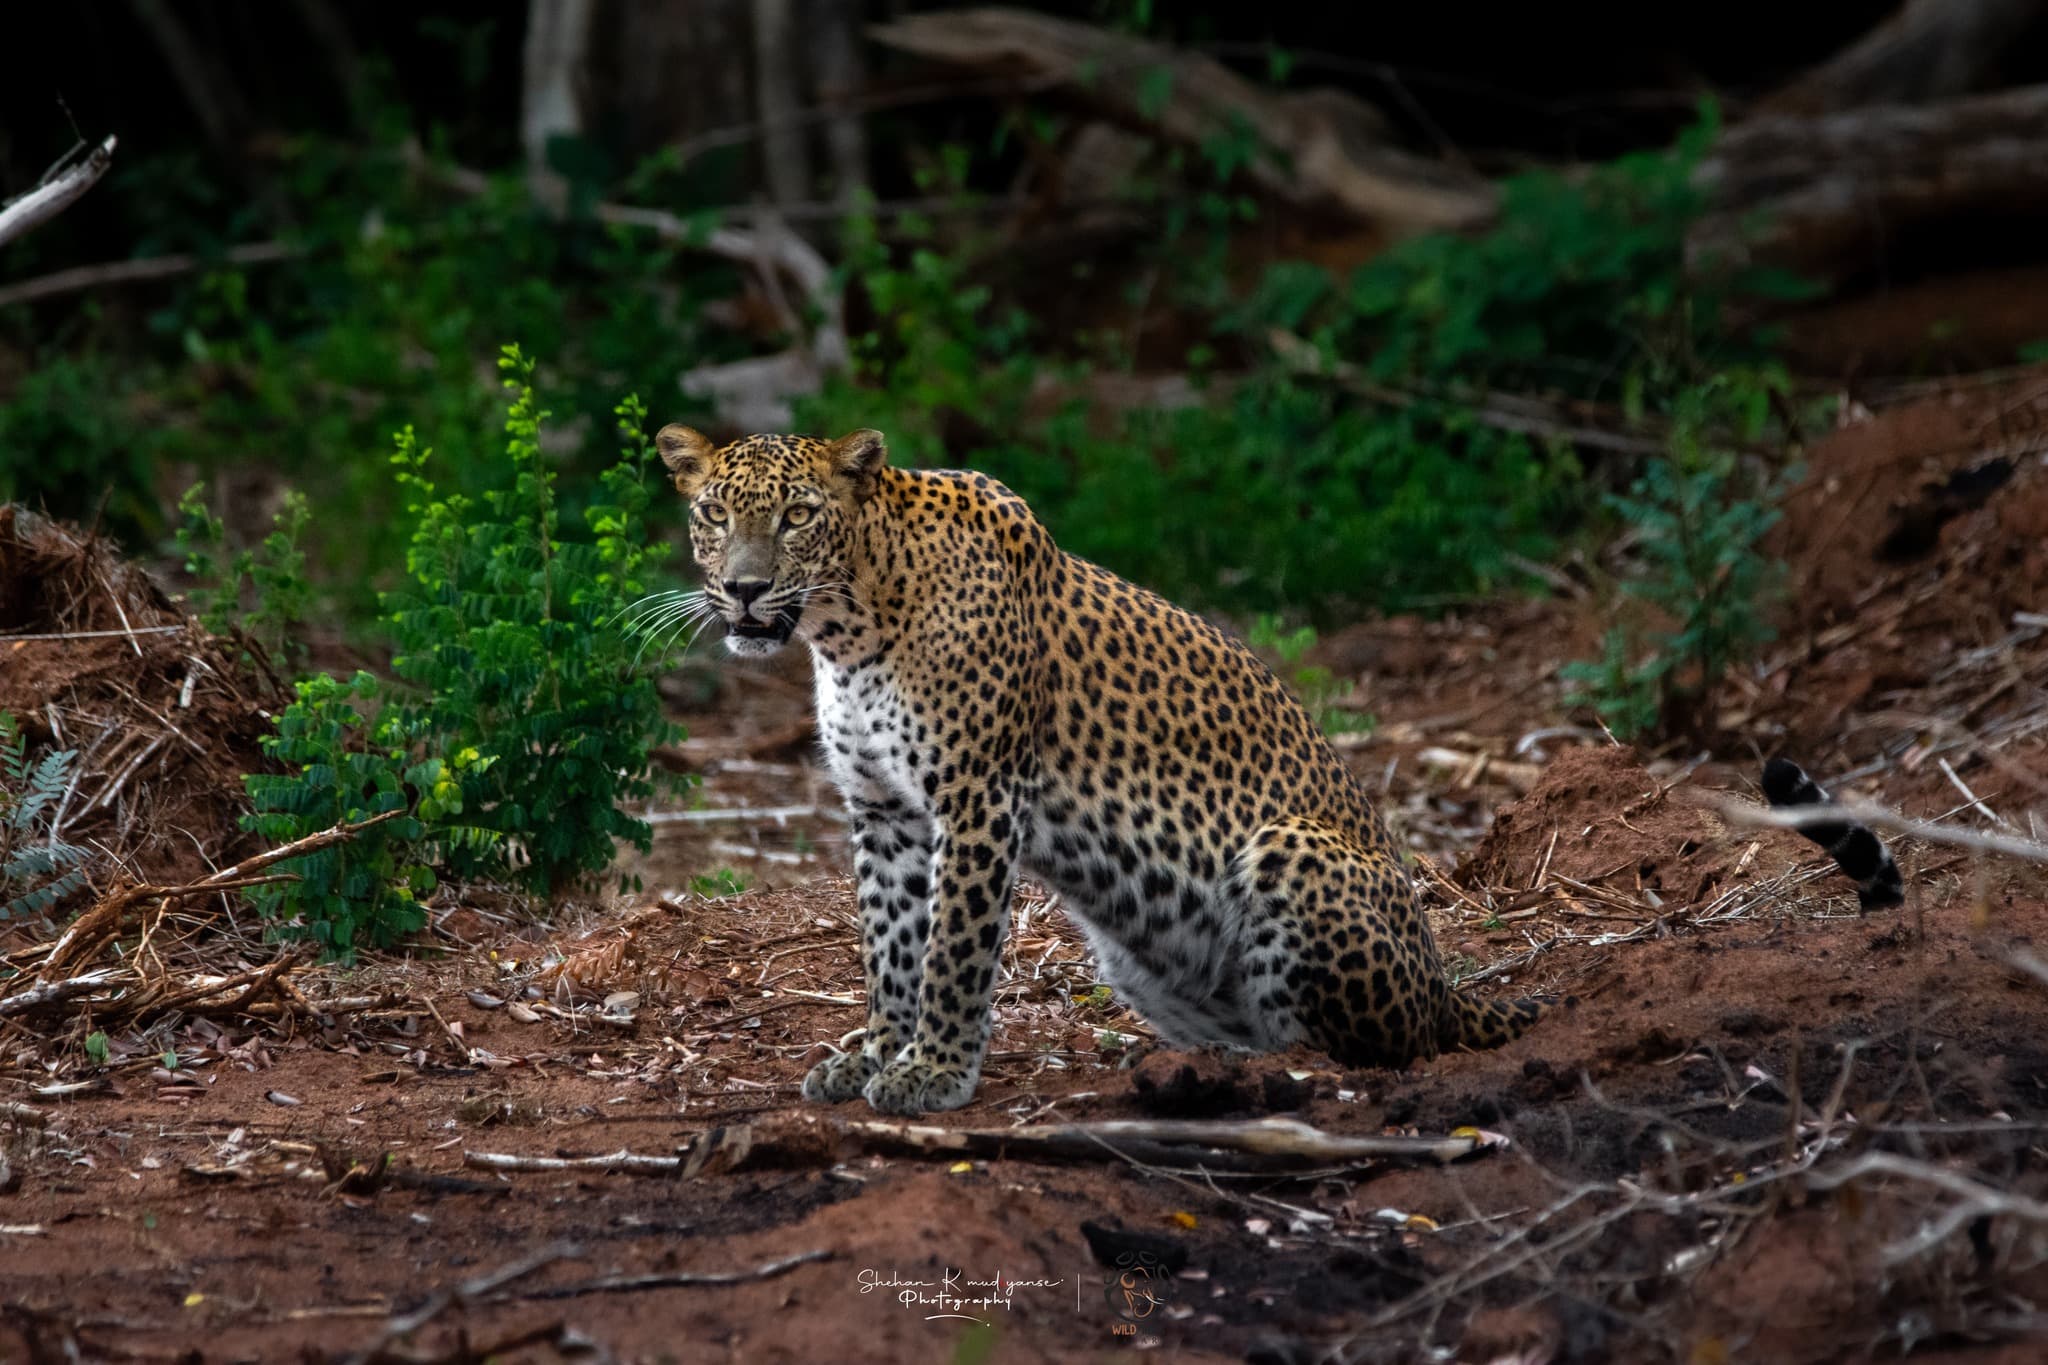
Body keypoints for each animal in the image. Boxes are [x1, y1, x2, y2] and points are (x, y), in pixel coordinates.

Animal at [657, 423, 1554, 1115]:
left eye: (798, 515)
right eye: (713, 513)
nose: (744, 588)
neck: (850, 628)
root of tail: (1446, 986)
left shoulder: (979, 798)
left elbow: (952, 948)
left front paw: (934, 1071)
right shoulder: (885, 811)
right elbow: (890, 946)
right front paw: (878, 1054)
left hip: (1289, 848)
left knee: (1370, 1045)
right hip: (1136, 958)